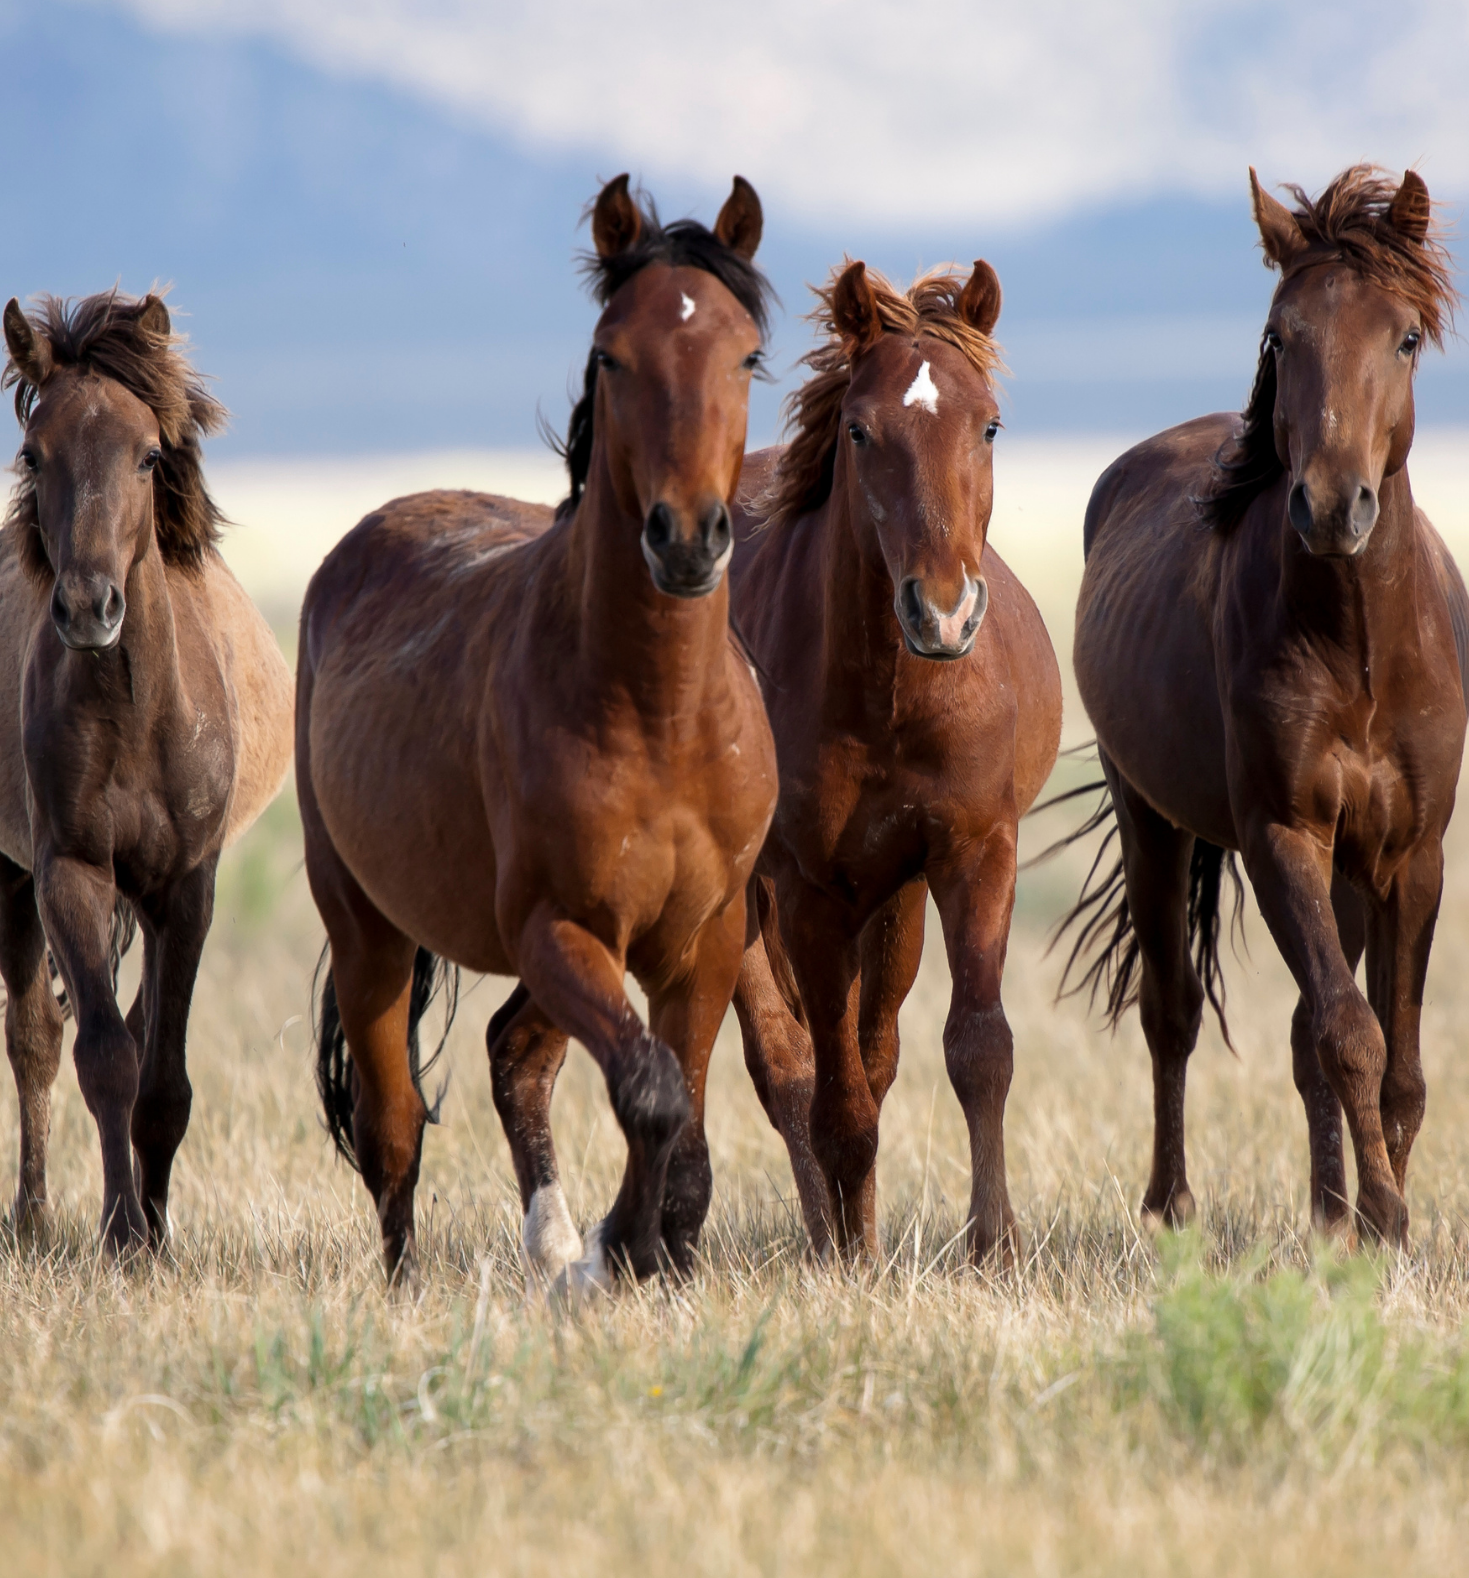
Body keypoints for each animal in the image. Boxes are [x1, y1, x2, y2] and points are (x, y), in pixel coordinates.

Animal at [0, 290, 294, 1253]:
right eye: (34, 452)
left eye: (149, 455)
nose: (90, 607)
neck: (133, 711)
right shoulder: (69, 872)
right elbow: (103, 1059)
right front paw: (123, 1234)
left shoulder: (184, 887)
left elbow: (163, 1075)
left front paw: (154, 1231)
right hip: (11, 880)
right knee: (35, 1040)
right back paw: (32, 1217)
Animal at [296, 175, 778, 1287]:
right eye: (611, 355)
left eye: (745, 355)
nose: (686, 539)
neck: (658, 715)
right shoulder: (561, 926)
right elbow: (651, 1091)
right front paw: (623, 1249)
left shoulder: (703, 937)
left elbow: (682, 1110)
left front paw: (649, 1250)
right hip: (368, 930)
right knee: (393, 1127)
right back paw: (416, 1281)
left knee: (515, 1055)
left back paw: (554, 1243)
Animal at [728, 260, 1062, 1265]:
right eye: (859, 429)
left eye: (987, 424)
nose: (943, 613)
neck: (888, 697)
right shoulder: (805, 890)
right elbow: (830, 1096)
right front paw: (847, 1263)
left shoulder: (971, 854)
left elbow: (977, 1050)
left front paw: (993, 1245)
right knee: (790, 1066)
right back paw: (829, 1240)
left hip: (894, 901)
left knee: (871, 1057)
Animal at [1062, 166, 1465, 1245]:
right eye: (1280, 336)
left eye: (1403, 337)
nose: (1329, 506)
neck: (1359, 648)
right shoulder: (1282, 834)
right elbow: (1350, 1034)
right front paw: (1383, 1220)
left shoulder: (1409, 854)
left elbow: (1397, 1062)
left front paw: (1374, 1216)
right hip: (1150, 820)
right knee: (1171, 1013)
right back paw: (1171, 1206)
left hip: (1346, 867)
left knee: (1293, 1035)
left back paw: (1323, 1215)